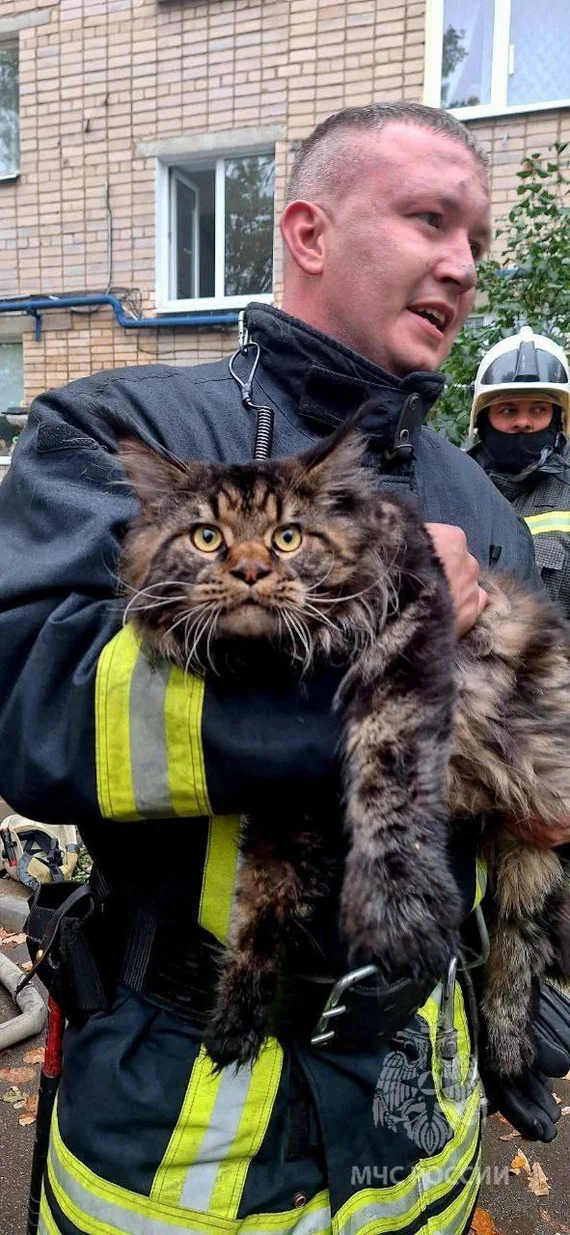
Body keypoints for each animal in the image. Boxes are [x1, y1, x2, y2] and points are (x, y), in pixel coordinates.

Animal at [114, 410, 570, 1076]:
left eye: (287, 538)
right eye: (206, 537)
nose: (249, 571)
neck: (276, 660)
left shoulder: (410, 648)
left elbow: (389, 784)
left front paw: (396, 911)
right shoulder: (287, 802)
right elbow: (260, 903)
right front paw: (236, 1018)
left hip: (532, 846)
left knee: (521, 944)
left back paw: (511, 1047)